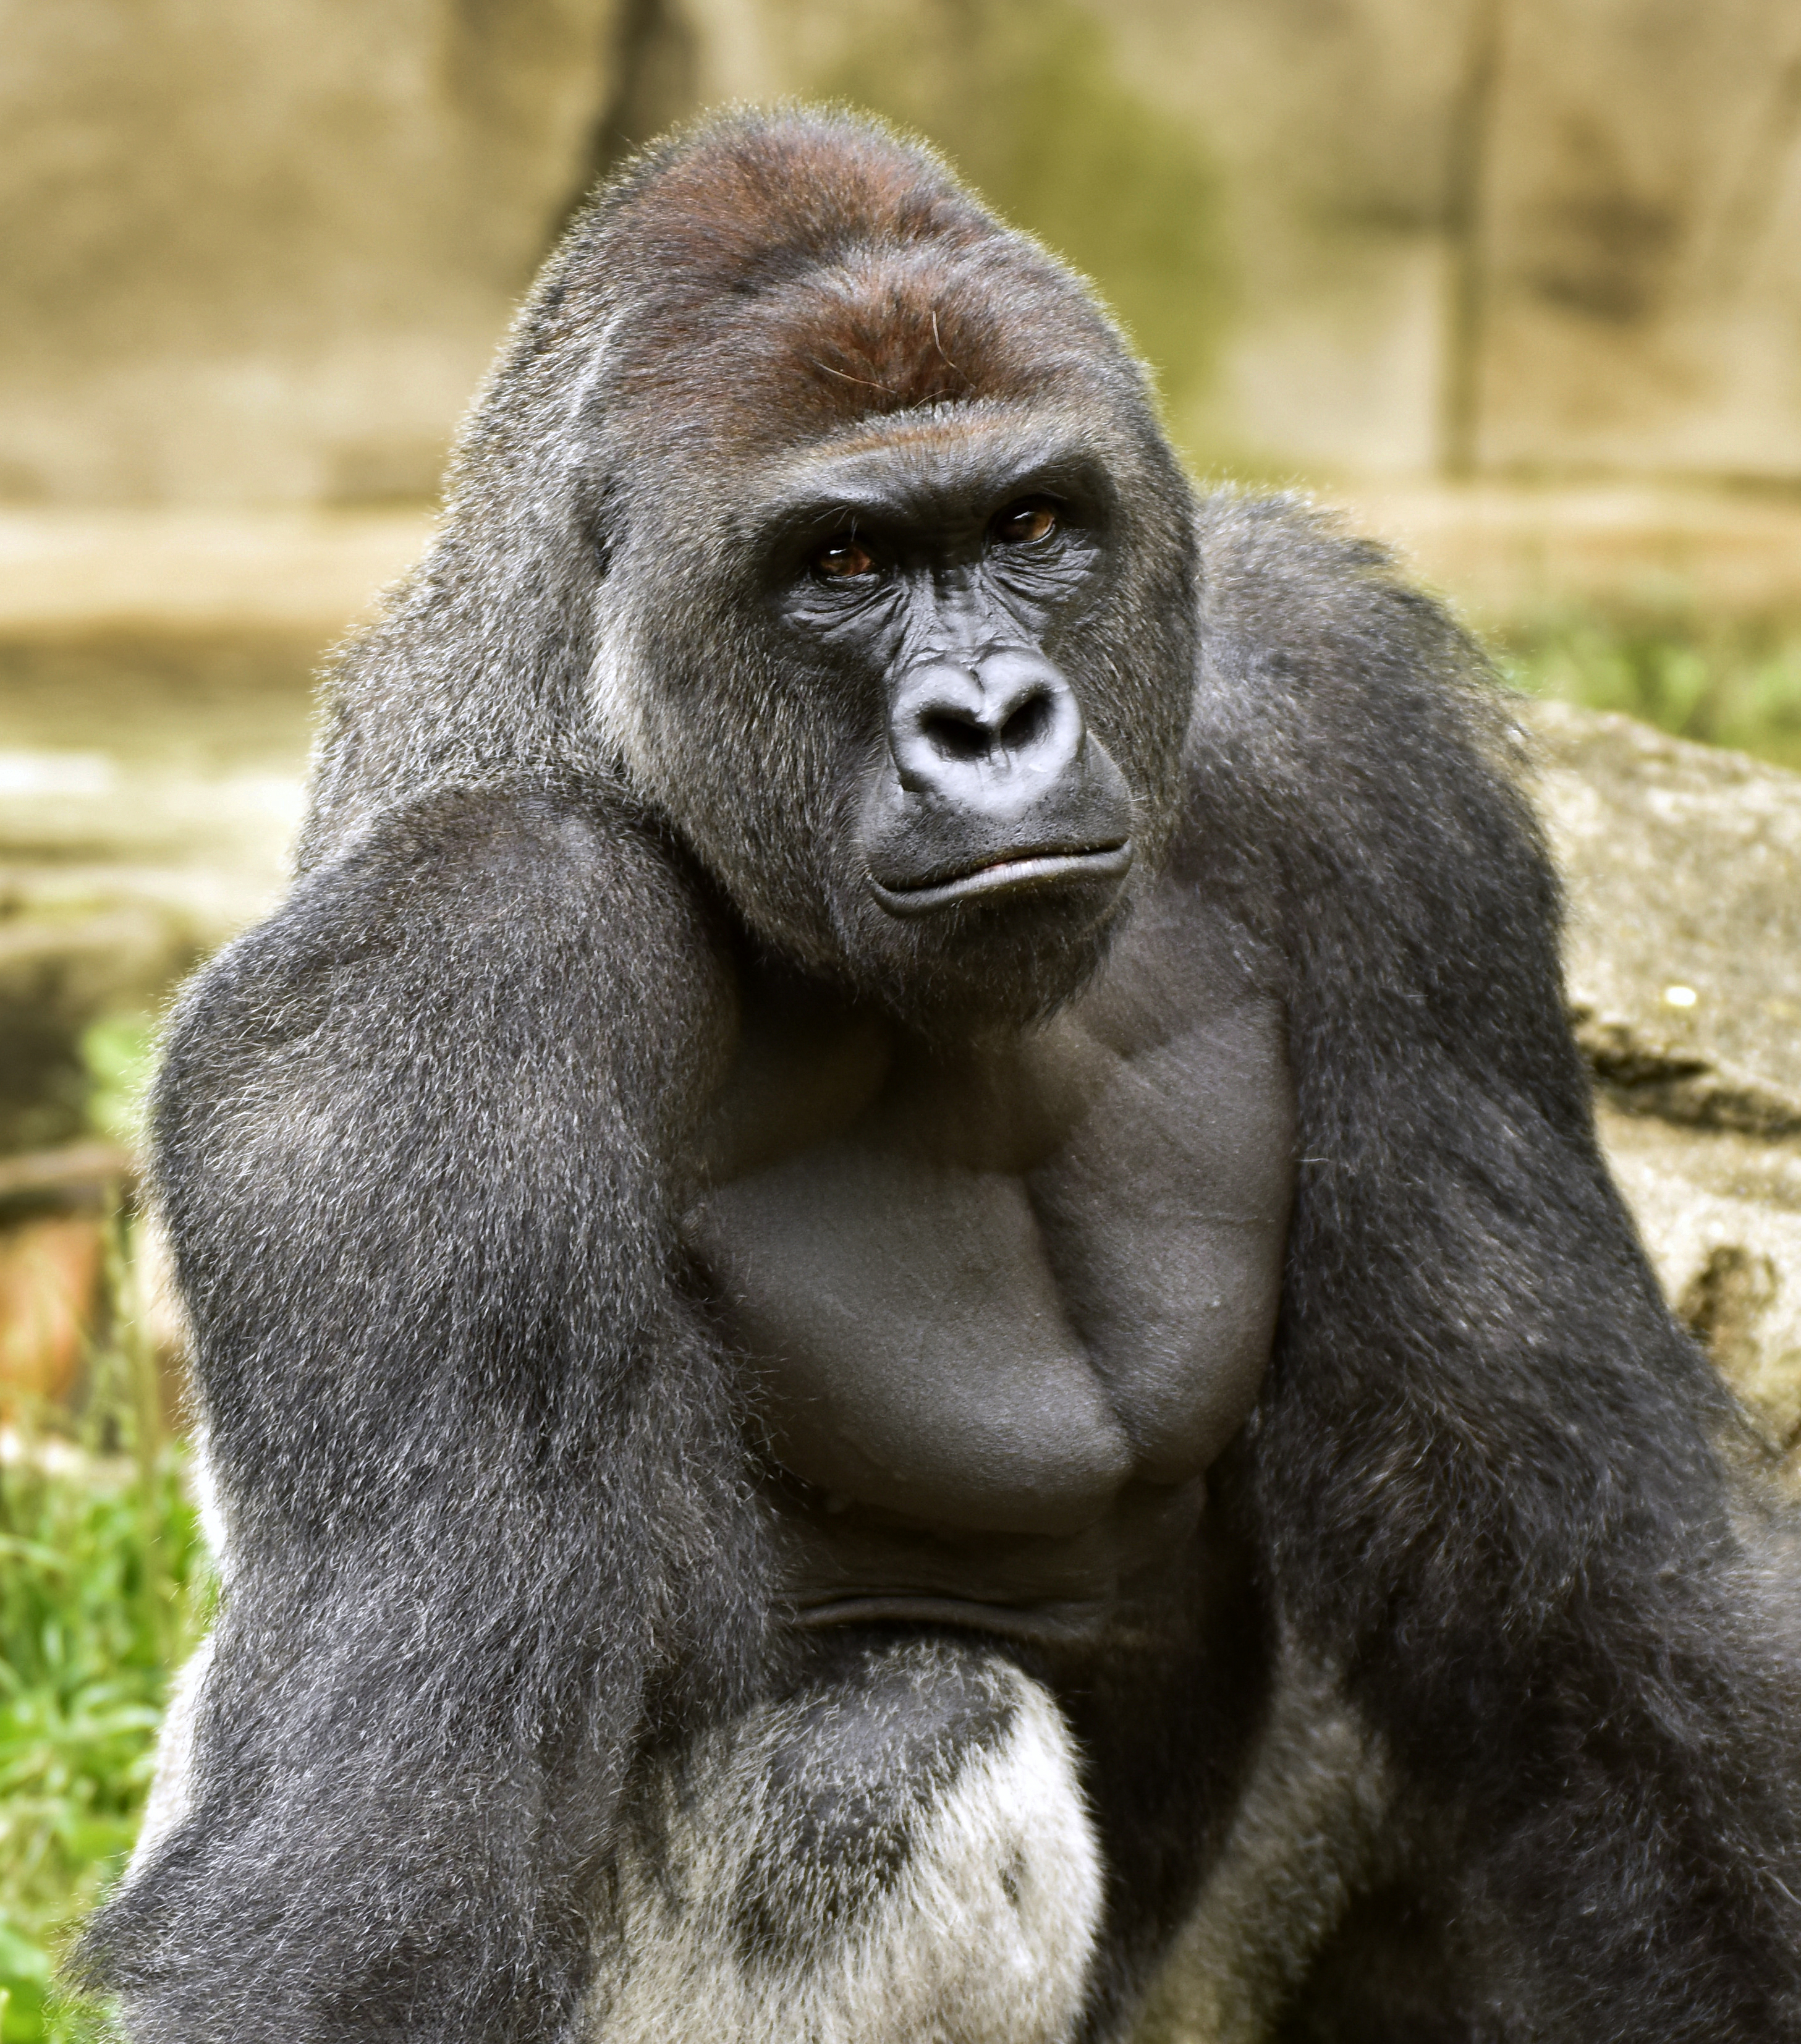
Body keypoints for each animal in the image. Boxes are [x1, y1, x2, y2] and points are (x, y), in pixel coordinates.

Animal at [79, 108, 1801, 2043]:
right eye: (841, 564)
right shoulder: (445, 972)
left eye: (1030, 522)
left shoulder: (1353, 735)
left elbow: (1590, 1585)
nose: (989, 720)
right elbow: (389, 1862)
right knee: (895, 1744)